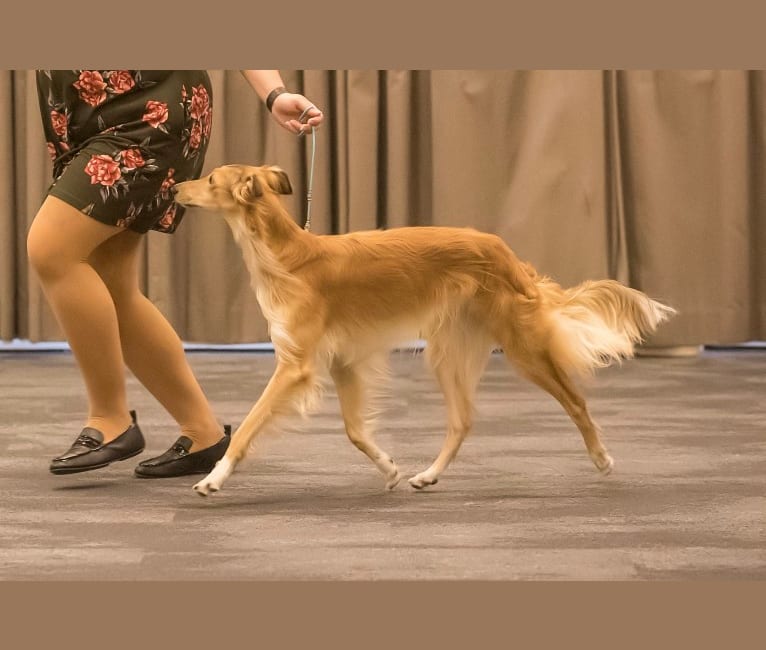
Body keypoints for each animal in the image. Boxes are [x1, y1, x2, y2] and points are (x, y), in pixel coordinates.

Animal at [172, 165, 672, 494]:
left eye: (210, 179)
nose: (175, 186)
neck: (287, 257)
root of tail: (509, 256)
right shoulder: (344, 362)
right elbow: (355, 430)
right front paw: (389, 468)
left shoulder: (296, 366)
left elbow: (250, 424)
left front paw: (214, 477)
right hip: (448, 353)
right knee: (463, 420)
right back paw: (429, 474)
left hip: (522, 349)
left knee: (576, 401)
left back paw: (602, 460)